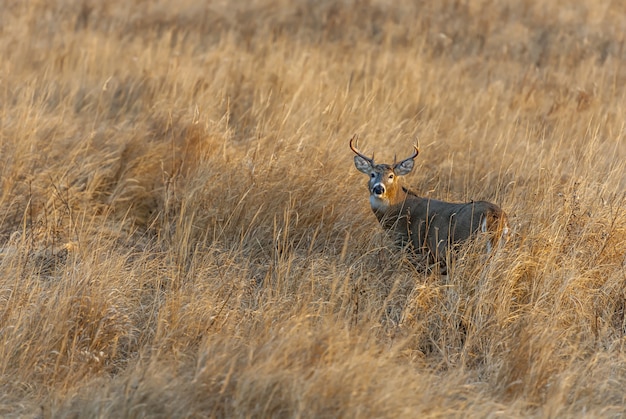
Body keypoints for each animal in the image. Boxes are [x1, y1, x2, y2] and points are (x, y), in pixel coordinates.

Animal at [348, 134, 510, 272]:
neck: (398, 210)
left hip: (464, 244)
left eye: (391, 176)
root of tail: (494, 215)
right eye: (372, 174)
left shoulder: (413, 246)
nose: (378, 188)